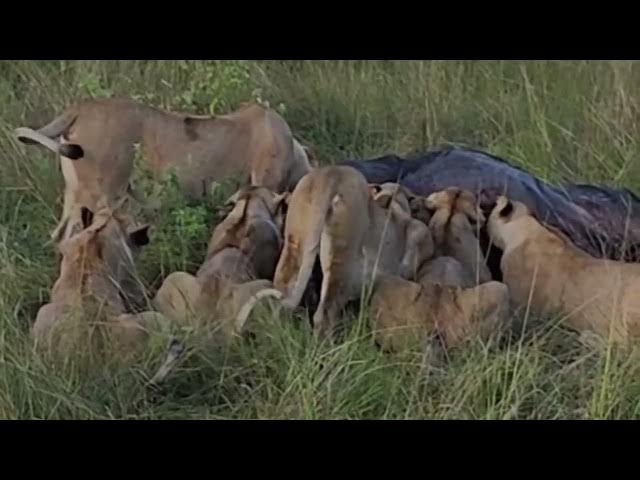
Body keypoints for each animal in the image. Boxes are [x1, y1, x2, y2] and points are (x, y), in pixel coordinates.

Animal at [270, 167, 434, 338]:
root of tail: (331, 173)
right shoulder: (419, 234)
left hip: (296, 242)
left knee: (282, 298)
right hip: (342, 259)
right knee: (326, 313)